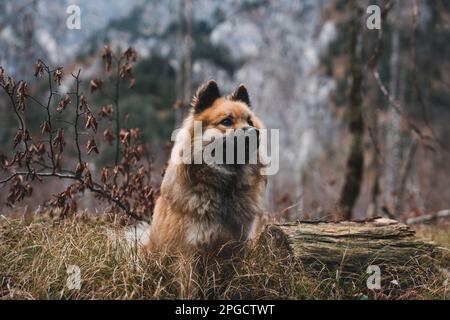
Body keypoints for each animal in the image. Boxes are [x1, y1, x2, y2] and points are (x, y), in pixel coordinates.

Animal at [147, 81, 268, 258]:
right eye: (227, 121)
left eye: (250, 122)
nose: (255, 132)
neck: (225, 187)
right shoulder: (189, 247)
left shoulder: (239, 243)